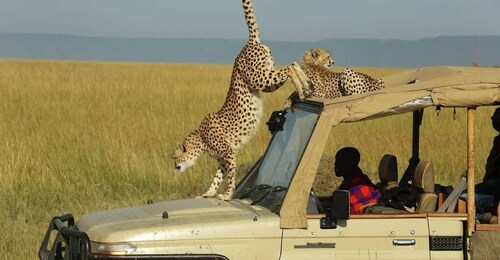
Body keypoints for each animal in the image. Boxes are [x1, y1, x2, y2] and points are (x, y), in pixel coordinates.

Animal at [174, 0, 294, 201]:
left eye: (175, 157)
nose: (175, 167)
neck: (201, 139)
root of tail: (248, 43)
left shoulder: (229, 154)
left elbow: (230, 177)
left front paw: (227, 194)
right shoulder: (223, 159)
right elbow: (217, 177)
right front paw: (209, 193)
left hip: (259, 78)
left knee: (291, 67)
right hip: (266, 79)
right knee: (285, 72)